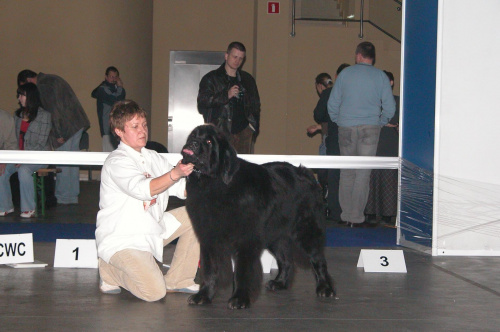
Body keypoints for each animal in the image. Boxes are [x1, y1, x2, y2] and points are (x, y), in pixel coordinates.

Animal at [182, 124, 334, 308]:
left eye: (209, 141)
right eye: (192, 136)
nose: (193, 144)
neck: (212, 183)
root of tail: (307, 174)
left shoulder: (246, 239)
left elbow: (242, 271)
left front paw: (240, 298)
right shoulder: (209, 237)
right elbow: (210, 269)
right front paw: (203, 295)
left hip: (306, 231)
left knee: (318, 260)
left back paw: (325, 288)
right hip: (275, 235)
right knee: (286, 260)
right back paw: (280, 283)